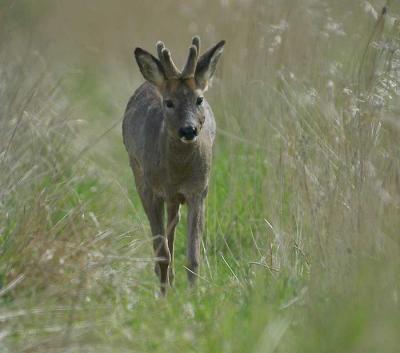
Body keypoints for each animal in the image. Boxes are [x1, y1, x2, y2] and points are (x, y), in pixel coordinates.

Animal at [122, 35, 225, 294]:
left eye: (199, 99)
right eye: (168, 103)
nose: (188, 130)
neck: (177, 173)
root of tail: (155, 81)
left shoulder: (199, 190)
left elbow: (193, 254)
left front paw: (193, 293)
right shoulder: (151, 190)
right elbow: (162, 252)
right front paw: (163, 293)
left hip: (175, 196)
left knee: (173, 221)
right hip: (138, 173)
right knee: (164, 235)